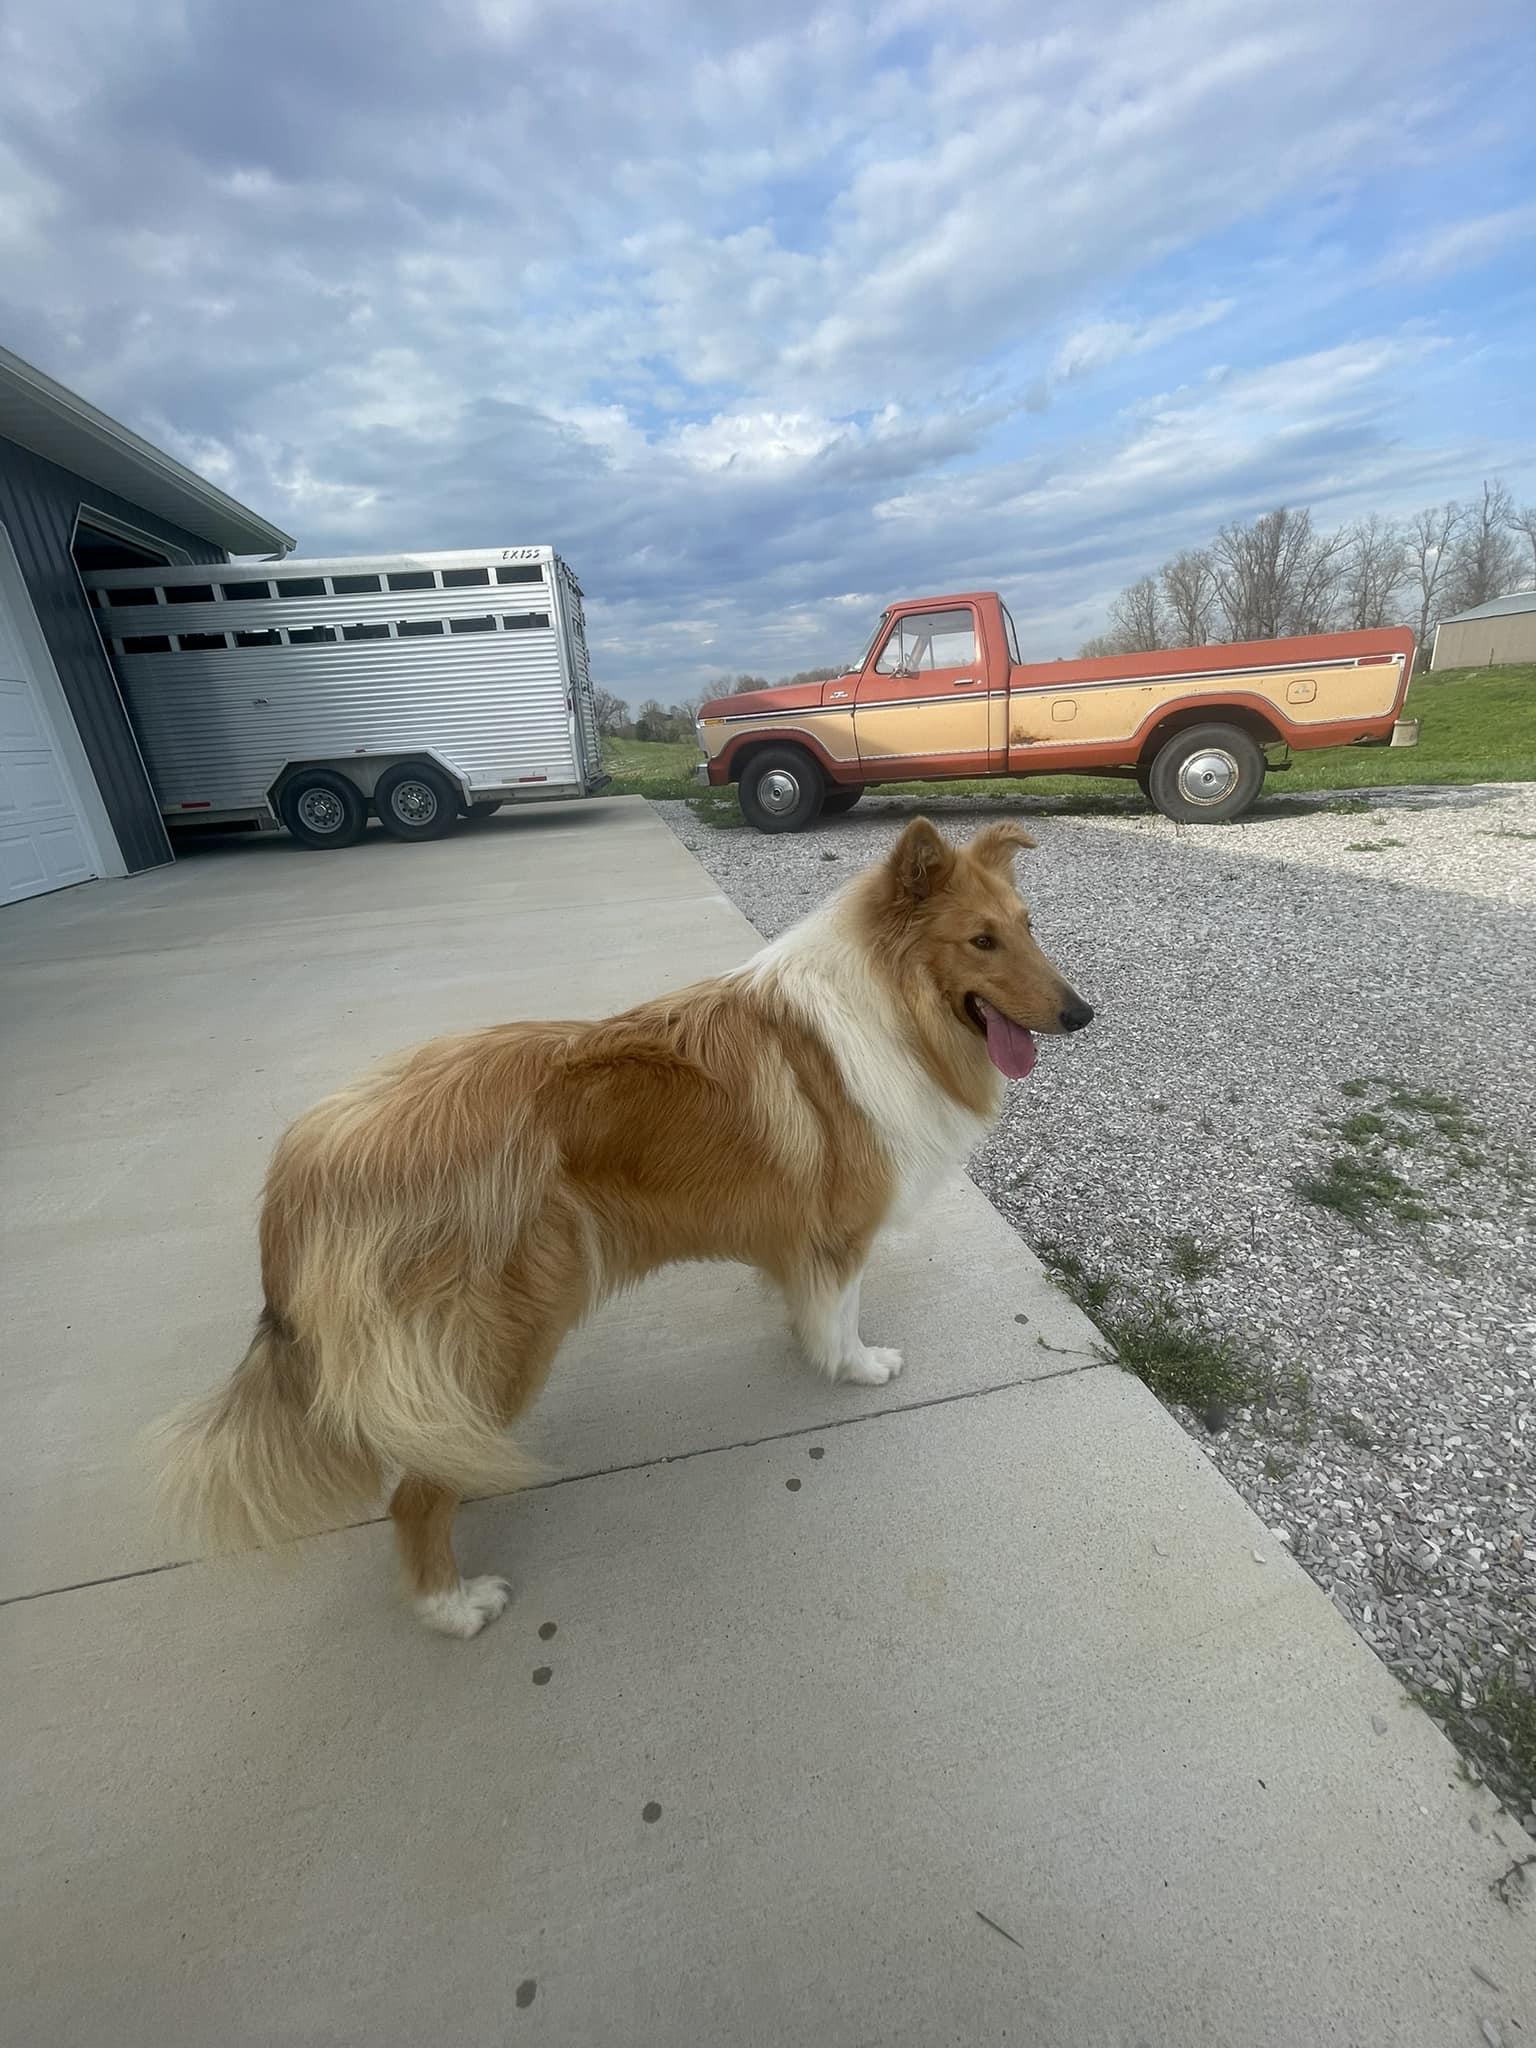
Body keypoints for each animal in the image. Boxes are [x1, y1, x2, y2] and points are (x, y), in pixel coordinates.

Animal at [160, 818, 1093, 1637]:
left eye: (1028, 926)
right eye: (980, 941)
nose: (1083, 1014)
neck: (891, 1008)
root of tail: (309, 1163)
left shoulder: (798, 1234)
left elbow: (805, 1302)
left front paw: (805, 1342)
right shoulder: (841, 1230)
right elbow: (844, 1315)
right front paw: (858, 1367)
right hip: (504, 1339)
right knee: (415, 1497)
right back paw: (454, 1609)